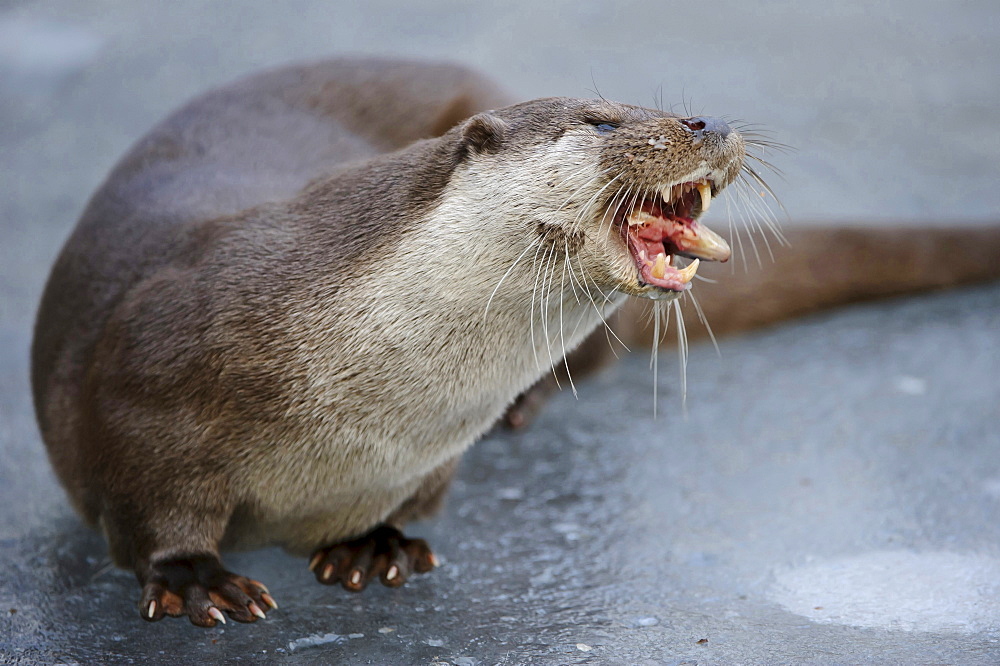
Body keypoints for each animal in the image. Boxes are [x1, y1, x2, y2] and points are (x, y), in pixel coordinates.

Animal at [31, 55, 1000, 624]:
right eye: (604, 120)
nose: (707, 120)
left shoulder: (422, 457)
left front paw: (374, 543)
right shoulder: (144, 385)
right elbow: (146, 509)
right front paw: (197, 577)